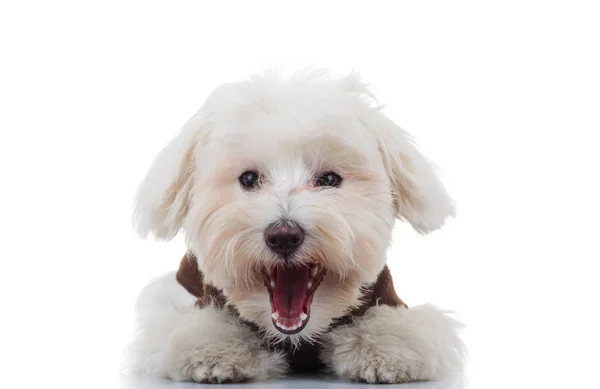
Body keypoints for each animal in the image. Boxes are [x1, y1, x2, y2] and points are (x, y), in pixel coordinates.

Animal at [125, 69, 464, 382]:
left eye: (330, 179)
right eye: (249, 178)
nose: (284, 236)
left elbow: (397, 329)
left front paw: (385, 353)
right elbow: (196, 330)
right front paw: (215, 353)